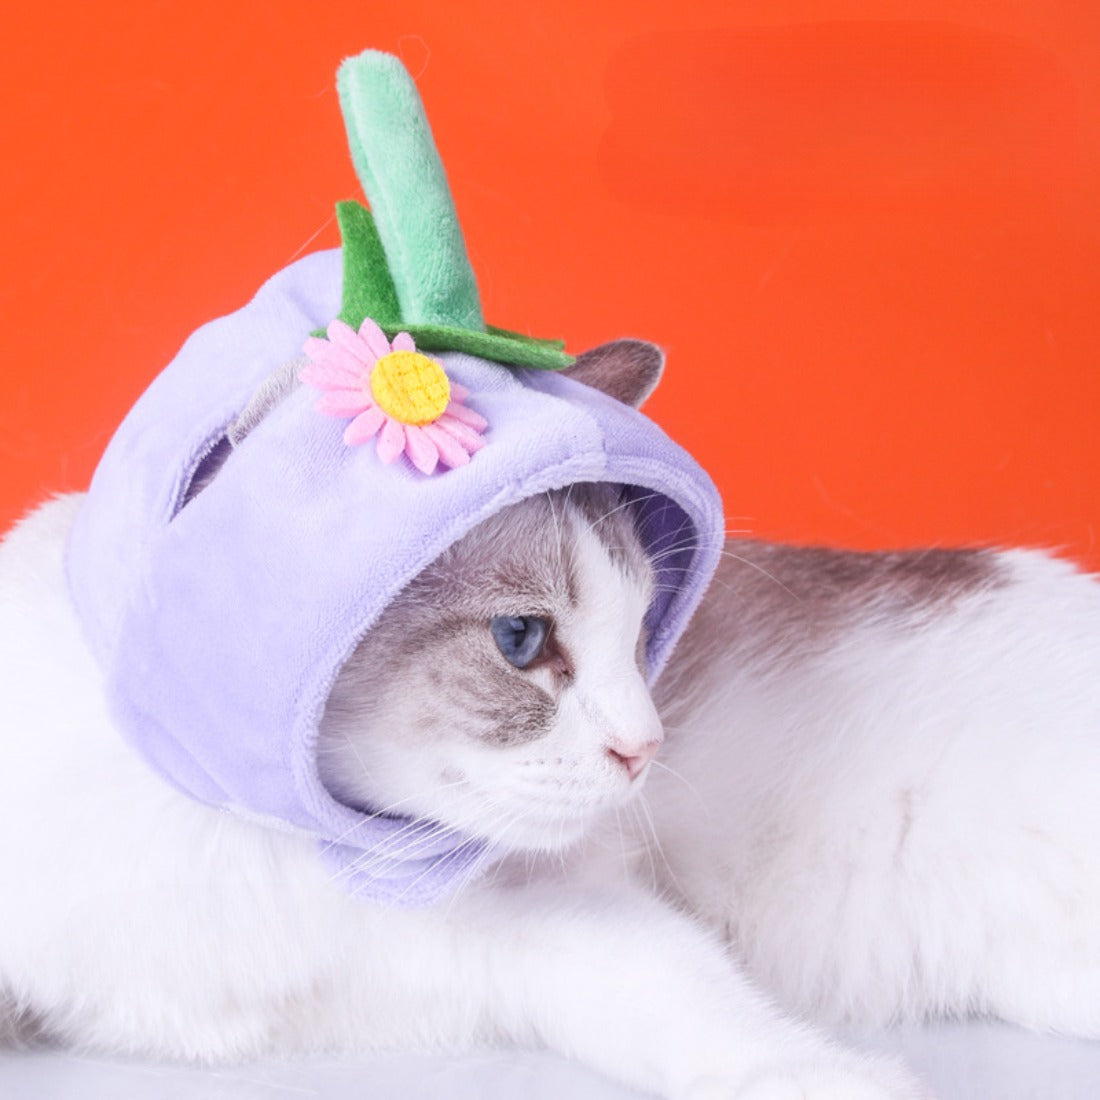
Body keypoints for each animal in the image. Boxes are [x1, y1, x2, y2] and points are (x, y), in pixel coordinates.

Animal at [0, 338, 1097, 1099]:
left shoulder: (558, 918)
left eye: (640, 629)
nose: (646, 748)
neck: (251, 837)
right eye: (522, 640)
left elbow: (700, 1009)